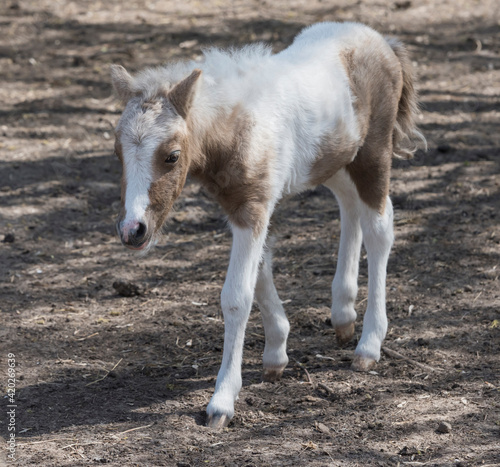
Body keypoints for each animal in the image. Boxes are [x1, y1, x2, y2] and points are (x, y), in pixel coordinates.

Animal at [110, 22, 426, 432]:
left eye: (172, 156)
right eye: (117, 152)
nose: (133, 230)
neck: (239, 127)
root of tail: (381, 40)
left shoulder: (253, 207)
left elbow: (236, 296)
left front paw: (222, 400)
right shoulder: (241, 209)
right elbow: (260, 270)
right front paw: (276, 353)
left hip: (373, 154)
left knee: (379, 229)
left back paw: (369, 344)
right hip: (335, 159)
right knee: (348, 206)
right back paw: (342, 314)